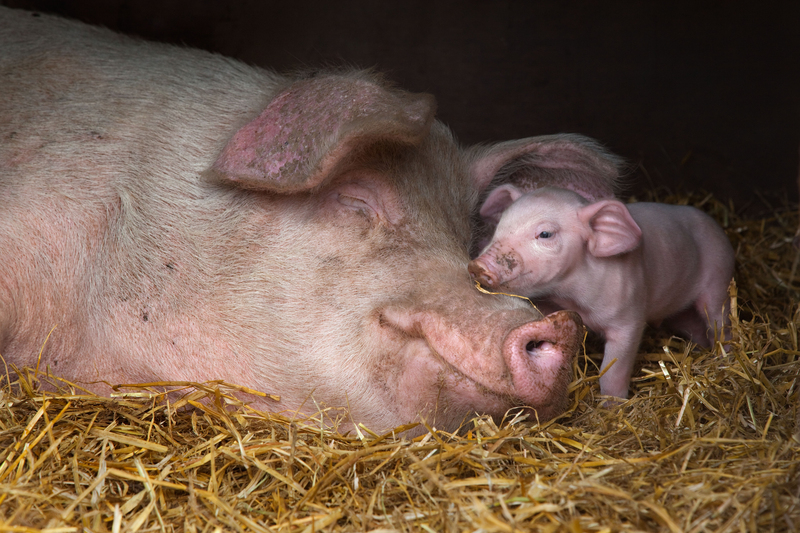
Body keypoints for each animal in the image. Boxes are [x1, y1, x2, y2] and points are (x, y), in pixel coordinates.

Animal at [468, 185, 736, 396]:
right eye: (500, 226)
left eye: (545, 233)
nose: (478, 265)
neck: (571, 297)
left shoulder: (629, 315)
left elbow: (614, 369)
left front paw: (612, 405)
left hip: (719, 275)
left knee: (719, 321)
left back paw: (725, 355)